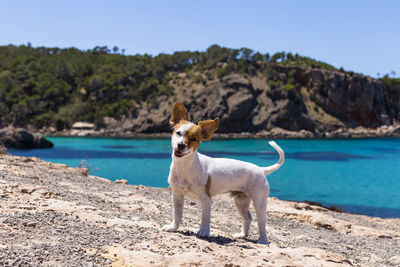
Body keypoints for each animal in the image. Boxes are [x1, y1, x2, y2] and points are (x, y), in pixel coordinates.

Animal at [162, 103, 284, 245]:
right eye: (178, 133)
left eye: (193, 139)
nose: (180, 145)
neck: (185, 167)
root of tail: (261, 169)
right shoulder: (177, 195)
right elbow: (177, 214)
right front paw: (173, 227)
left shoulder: (206, 199)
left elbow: (205, 217)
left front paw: (203, 232)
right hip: (240, 202)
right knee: (248, 218)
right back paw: (242, 235)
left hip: (259, 203)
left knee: (262, 222)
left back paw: (262, 241)